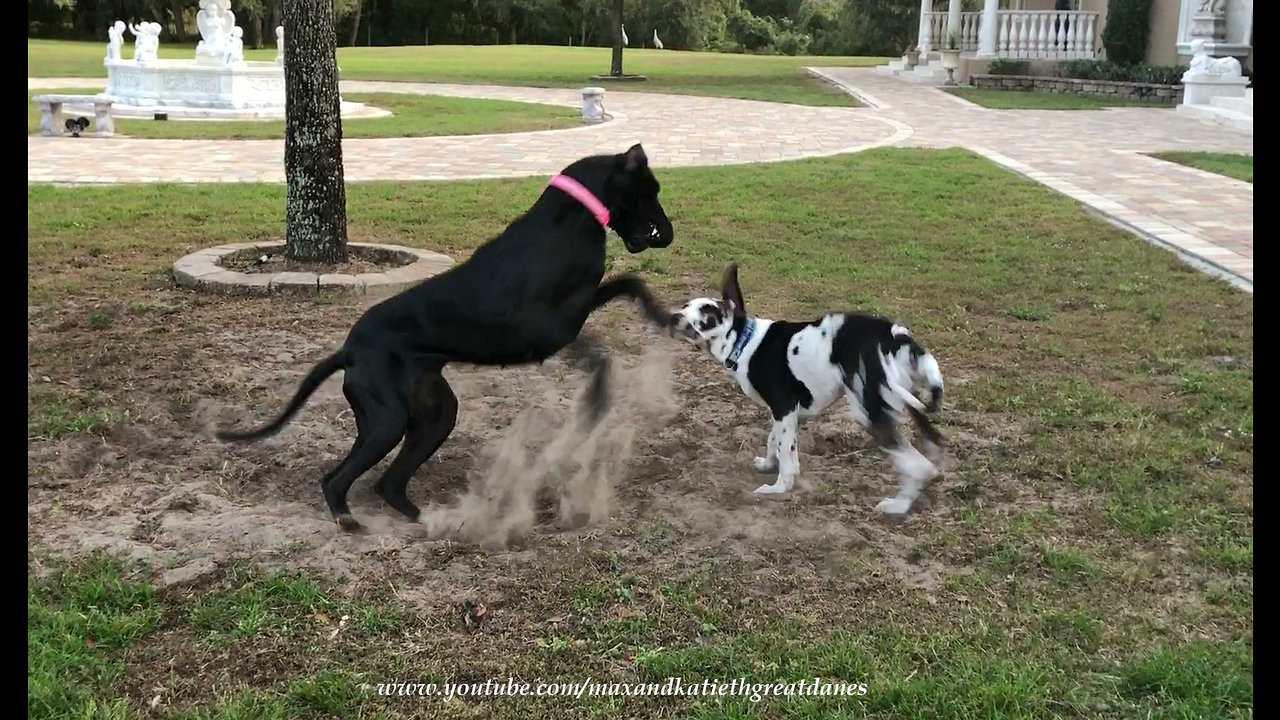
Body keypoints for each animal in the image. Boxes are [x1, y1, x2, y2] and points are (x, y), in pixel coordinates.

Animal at [217, 146, 680, 530]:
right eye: (652, 190)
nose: (669, 232)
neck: (572, 217)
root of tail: (348, 351)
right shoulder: (549, 328)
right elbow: (601, 352)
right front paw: (597, 401)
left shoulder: (580, 305)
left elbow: (632, 283)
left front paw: (669, 319)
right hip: (387, 420)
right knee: (338, 479)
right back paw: (350, 521)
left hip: (435, 416)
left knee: (389, 483)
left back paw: (435, 522)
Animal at [675, 263, 947, 515]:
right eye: (686, 305)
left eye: (705, 312)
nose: (675, 315)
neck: (745, 342)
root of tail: (894, 336)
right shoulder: (786, 414)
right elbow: (774, 440)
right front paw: (768, 464)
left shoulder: (783, 408)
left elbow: (784, 451)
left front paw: (779, 487)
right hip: (908, 402)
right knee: (933, 444)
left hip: (870, 411)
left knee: (919, 466)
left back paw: (898, 506)